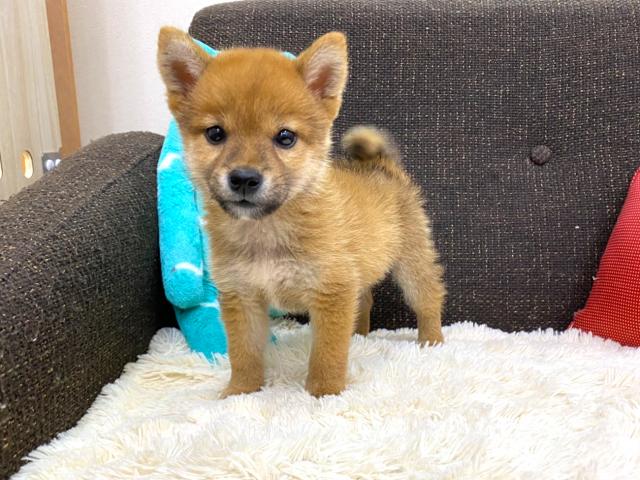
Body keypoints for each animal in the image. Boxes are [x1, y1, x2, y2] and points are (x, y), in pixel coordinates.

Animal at [157, 27, 446, 398]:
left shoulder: (331, 293)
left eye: (285, 137)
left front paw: (324, 394)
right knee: (364, 300)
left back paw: (431, 341)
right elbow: (243, 353)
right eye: (215, 134)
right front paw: (240, 393)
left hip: (411, 263)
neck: (267, 230)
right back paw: (360, 335)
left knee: (428, 297)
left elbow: (327, 354)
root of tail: (380, 165)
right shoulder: (243, 296)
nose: (244, 178)